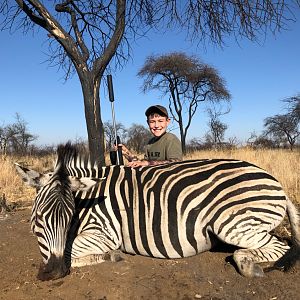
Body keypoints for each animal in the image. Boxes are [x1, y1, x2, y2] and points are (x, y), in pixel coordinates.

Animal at [15, 143, 300, 282]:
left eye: (68, 216)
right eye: (38, 218)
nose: (53, 273)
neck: (88, 200)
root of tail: (276, 182)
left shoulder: (105, 232)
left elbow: (70, 251)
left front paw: (110, 255)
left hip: (232, 223)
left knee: (280, 247)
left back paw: (249, 265)